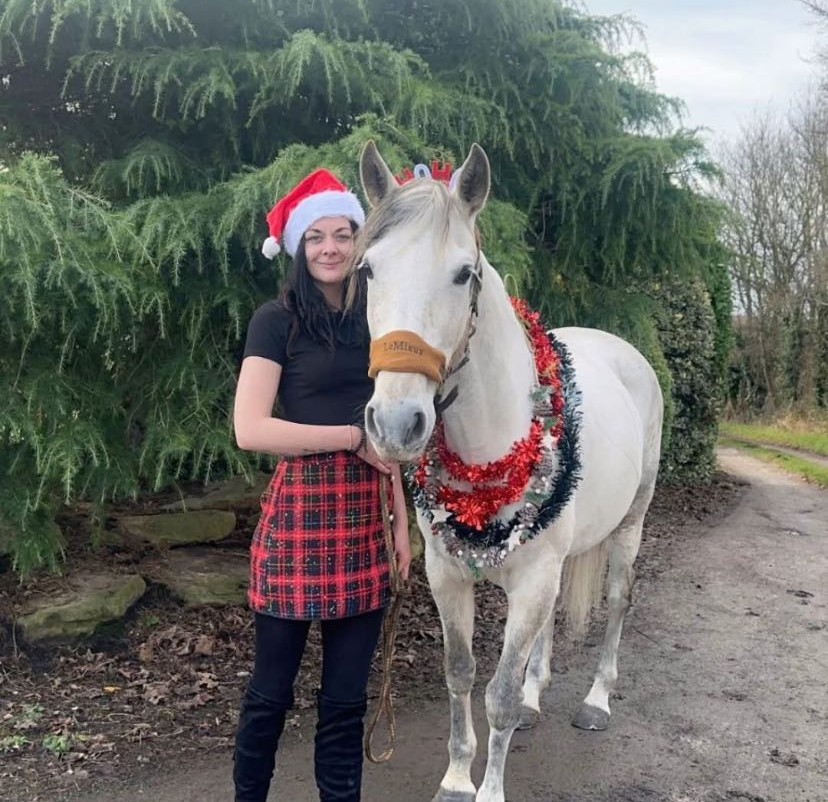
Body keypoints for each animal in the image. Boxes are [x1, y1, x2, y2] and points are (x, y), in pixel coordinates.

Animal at [356, 141, 664, 802]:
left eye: (462, 274)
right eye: (367, 271)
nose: (395, 422)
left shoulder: (530, 582)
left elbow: (494, 694)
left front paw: (488, 787)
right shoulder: (447, 577)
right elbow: (460, 674)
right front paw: (454, 778)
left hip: (630, 525)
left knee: (618, 600)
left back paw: (597, 700)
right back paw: (535, 697)